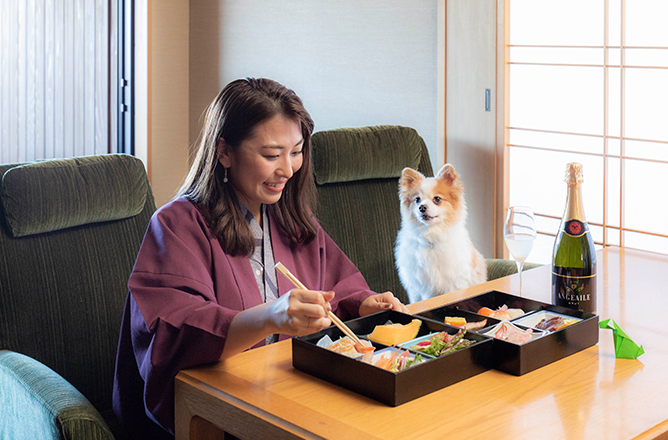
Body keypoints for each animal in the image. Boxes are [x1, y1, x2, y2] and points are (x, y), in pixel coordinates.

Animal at [394, 163, 488, 304]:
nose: (422, 207)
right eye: (417, 200)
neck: (431, 237)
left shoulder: (454, 284)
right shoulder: (418, 289)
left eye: (437, 199)